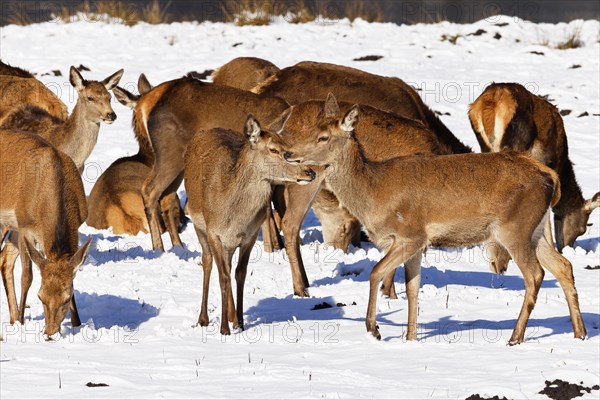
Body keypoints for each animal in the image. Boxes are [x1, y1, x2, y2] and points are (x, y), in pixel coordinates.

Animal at [135, 73, 288, 252]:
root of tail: (145, 105)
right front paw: (271, 249)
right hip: (170, 153)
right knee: (149, 190)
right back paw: (158, 247)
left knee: (166, 196)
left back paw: (178, 246)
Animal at [185, 115, 316, 334]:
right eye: (273, 149)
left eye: (288, 146)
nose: (310, 172)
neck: (234, 217)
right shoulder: (214, 232)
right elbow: (223, 276)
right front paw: (224, 329)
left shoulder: (250, 235)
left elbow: (240, 274)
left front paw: (240, 322)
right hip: (197, 223)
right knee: (207, 261)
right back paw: (203, 318)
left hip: (229, 243)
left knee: (228, 266)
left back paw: (231, 316)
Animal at [284, 94, 588, 344]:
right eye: (309, 129)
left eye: (323, 137)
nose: (288, 152)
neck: (373, 192)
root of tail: (551, 177)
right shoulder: (417, 245)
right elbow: (412, 287)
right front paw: (410, 338)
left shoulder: (410, 234)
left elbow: (375, 272)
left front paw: (374, 329)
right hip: (536, 229)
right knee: (563, 266)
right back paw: (579, 332)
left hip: (514, 228)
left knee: (535, 274)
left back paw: (515, 337)